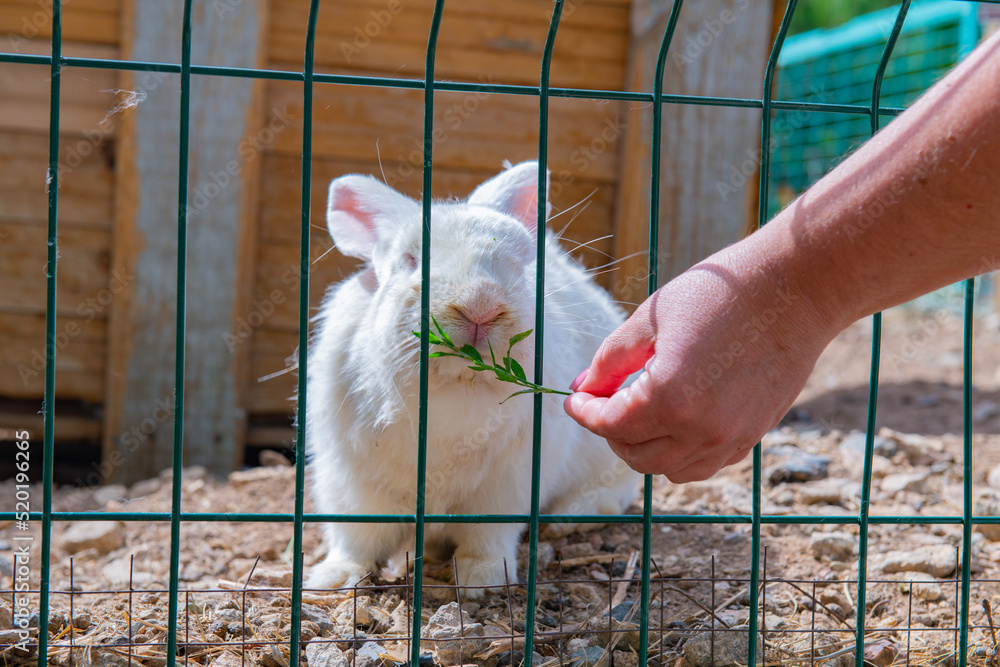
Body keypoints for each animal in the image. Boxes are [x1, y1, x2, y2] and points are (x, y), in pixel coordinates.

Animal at [306, 161, 639, 595]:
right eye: (410, 259)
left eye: (520, 261)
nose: (480, 305)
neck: (456, 388)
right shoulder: (354, 487)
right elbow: (355, 538)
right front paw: (333, 579)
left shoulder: (504, 490)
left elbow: (487, 537)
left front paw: (482, 580)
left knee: (614, 494)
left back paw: (565, 518)